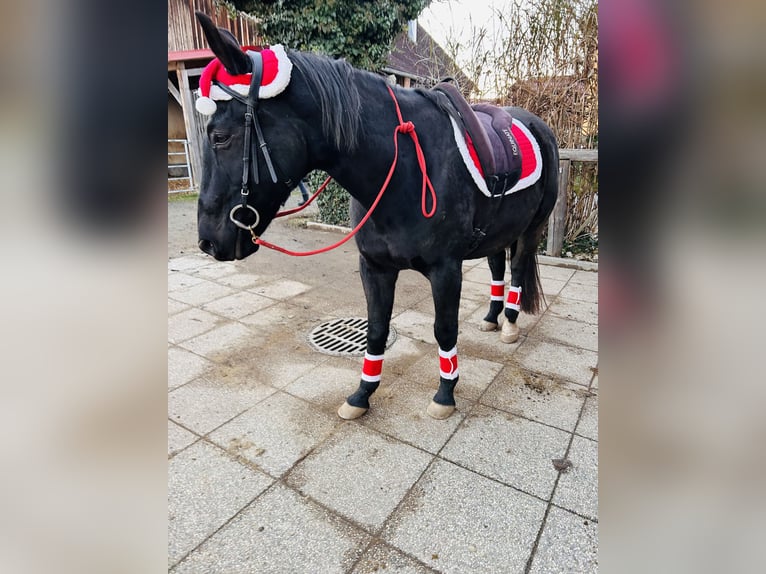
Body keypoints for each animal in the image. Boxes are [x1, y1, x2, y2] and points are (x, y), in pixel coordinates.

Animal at [194, 12, 559, 421]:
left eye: (220, 137)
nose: (208, 241)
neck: (405, 167)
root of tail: (538, 125)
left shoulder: (446, 270)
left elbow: (444, 329)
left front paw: (445, 394)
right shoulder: (374, 267)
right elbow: (376, 330)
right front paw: (361, 395)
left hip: (532, 229)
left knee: (518, 268)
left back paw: (509, 323)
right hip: (497, 232)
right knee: (498, 265)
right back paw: (492, 318)